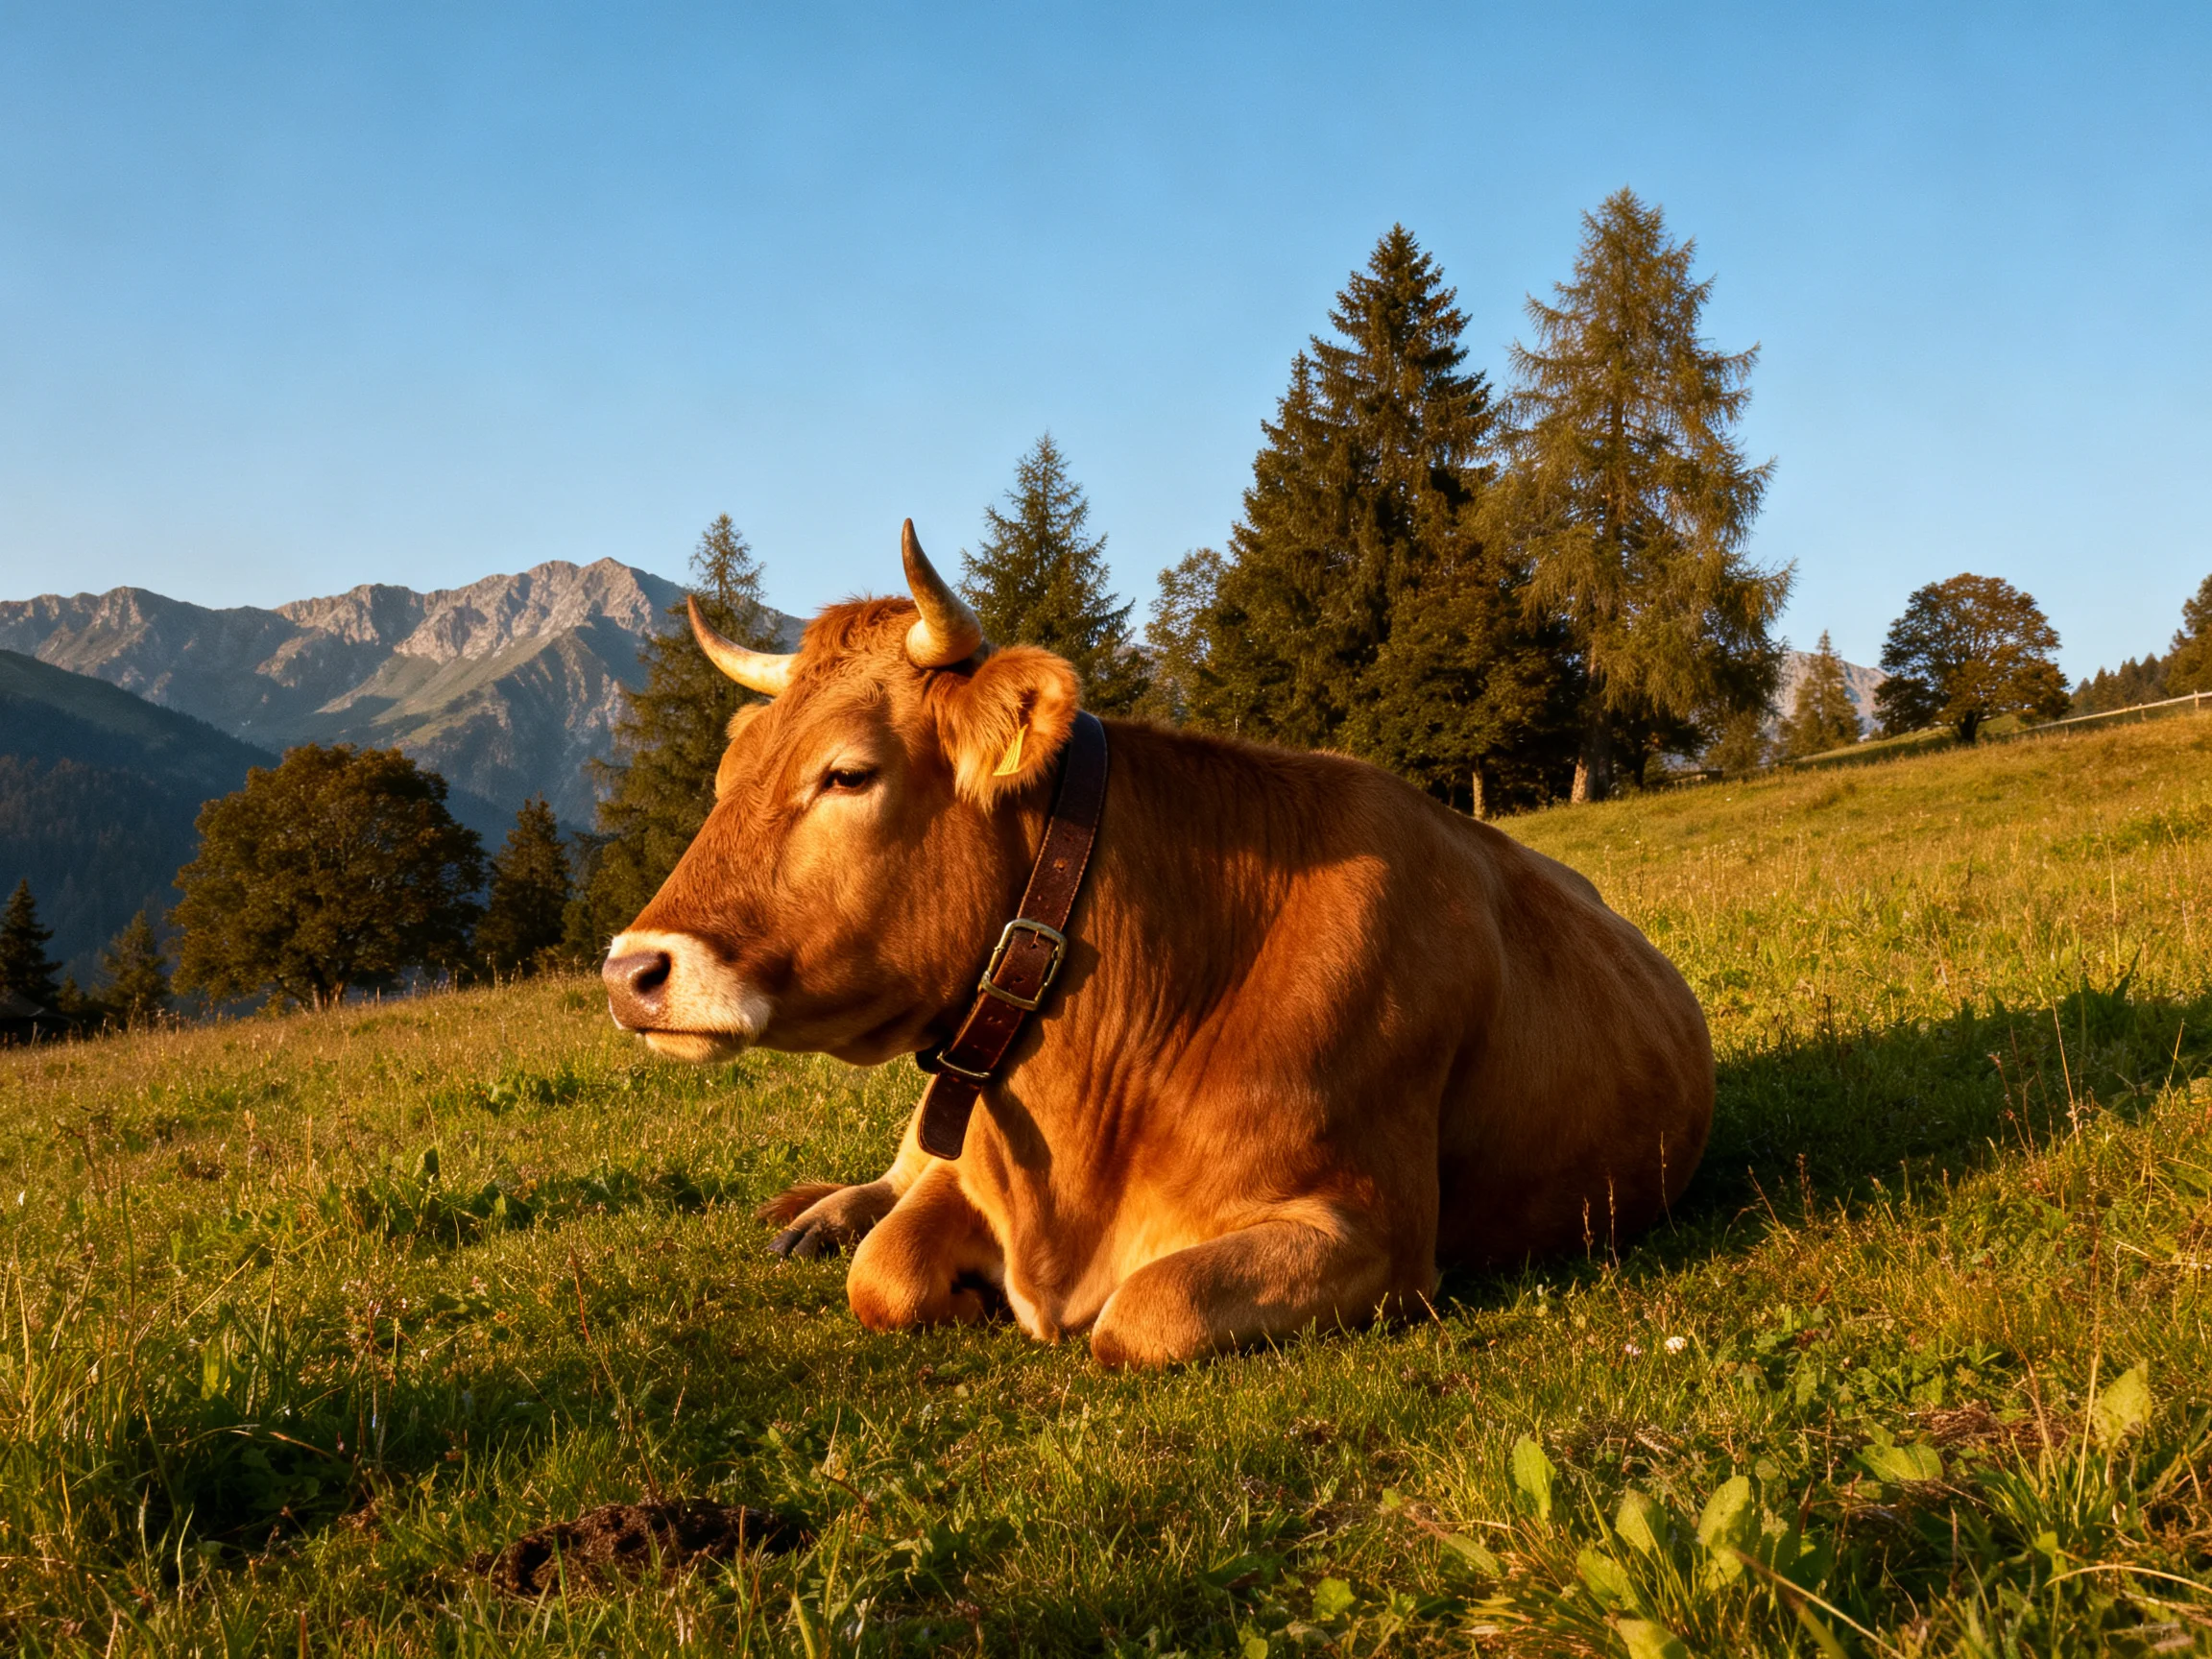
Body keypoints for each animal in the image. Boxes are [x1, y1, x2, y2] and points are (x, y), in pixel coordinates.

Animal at [602, 524, 1714, 1368]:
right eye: (725, 777)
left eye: (847, 773)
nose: (629, 970)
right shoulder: (974, 1170)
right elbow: (883, 1271)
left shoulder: (1378, 1232)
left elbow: (1143, 1314)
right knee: (890, 1181)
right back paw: (815, 1213)